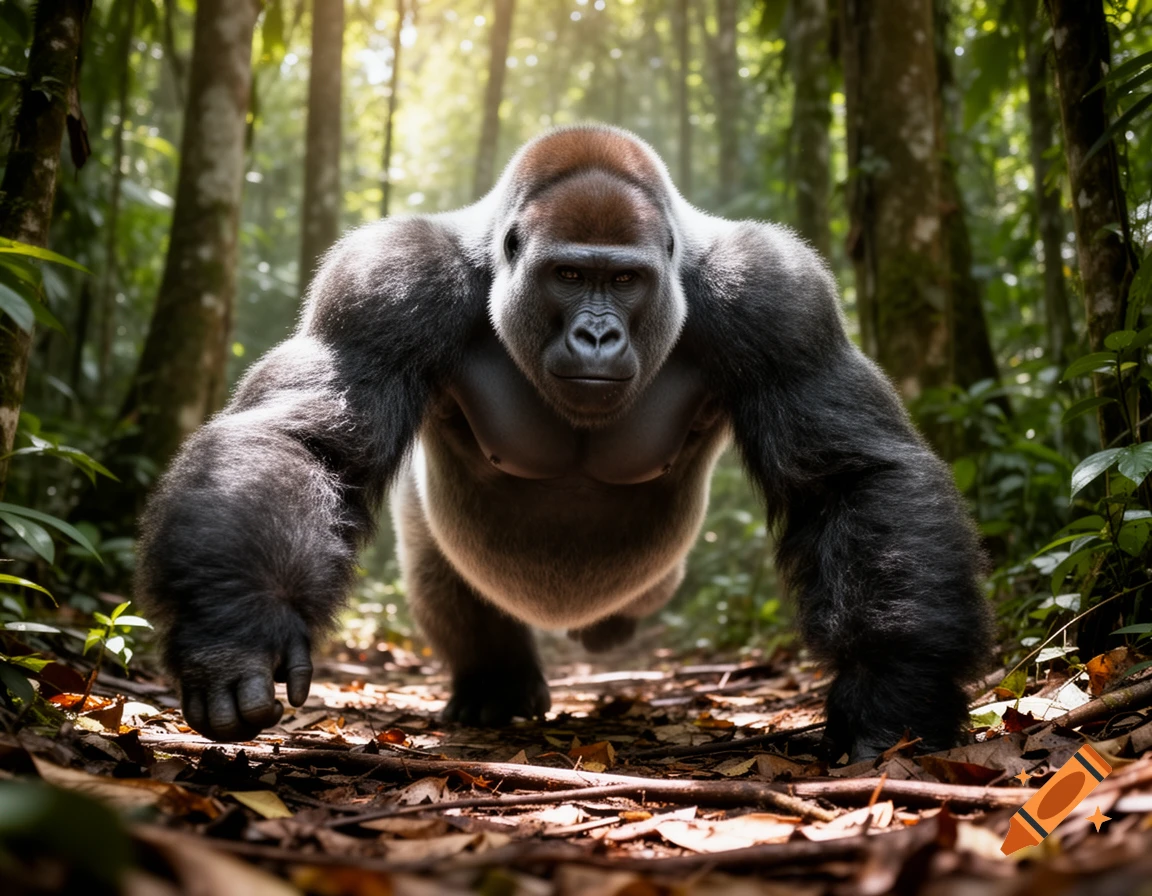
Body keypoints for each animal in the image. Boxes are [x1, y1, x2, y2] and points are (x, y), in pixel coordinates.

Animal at [136, 125, 991, 762]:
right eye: (571, 275)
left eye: (624, 280)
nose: (597, 335)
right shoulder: (386, 280)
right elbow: (306, 441)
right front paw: (235, 628)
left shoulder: (779, 294)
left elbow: (850, 477)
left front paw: (894, 686)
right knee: (446, 578)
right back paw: (497, 687)